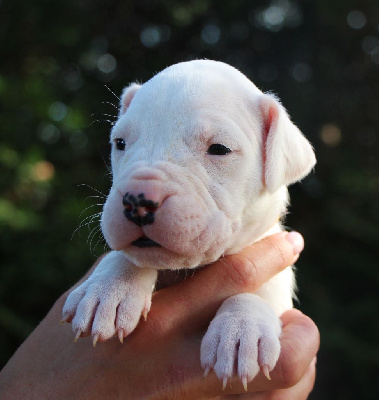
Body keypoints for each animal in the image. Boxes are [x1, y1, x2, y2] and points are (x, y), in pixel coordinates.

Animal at [63, 60, 318, 390]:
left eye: (220, 149)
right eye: (120, 143)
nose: (135, 200)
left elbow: (258, 291)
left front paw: (242, 328)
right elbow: (128, 255)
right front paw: (108, 289)